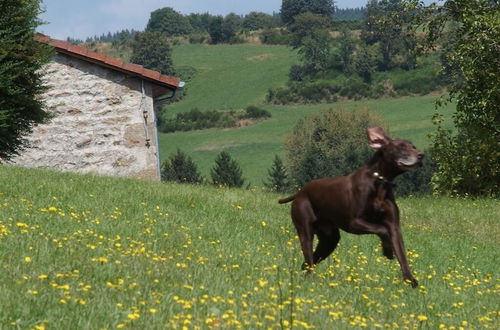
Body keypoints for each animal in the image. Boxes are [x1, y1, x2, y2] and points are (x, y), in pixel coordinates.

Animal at [280, 127, 424, 288]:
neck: (379, 183)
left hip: (330, 239)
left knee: (308, 262)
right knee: (309, 258)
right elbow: (382, 230)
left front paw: (411, 281)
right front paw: (387, 251)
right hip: (305, 230)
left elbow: (402, 256)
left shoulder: (394, 226)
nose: (421, 155)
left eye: (413, 146)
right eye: (400, 147)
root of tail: (300, 192)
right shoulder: (354, 223)